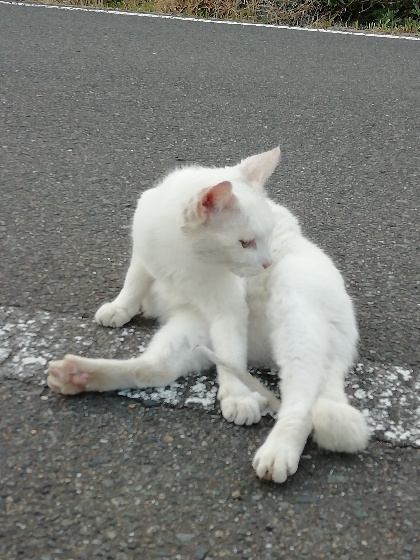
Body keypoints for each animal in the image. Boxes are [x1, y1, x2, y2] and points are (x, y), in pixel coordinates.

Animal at [49, 148, 370, 482]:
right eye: (246, 243)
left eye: (268, 236)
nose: (267, 263)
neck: (183, 255)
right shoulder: (143, 254)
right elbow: (134, 282)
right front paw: (120, 307)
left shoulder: (229, 307)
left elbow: (231, 348)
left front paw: (238, 397)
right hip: (192, 330)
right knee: (155, 369)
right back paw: (78, 375)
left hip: (295, 312)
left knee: (301, 402)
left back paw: (277, 450)